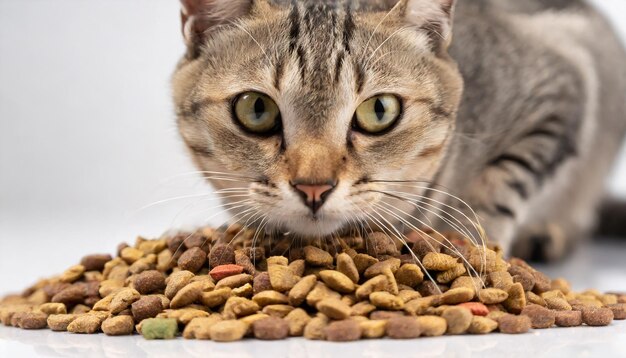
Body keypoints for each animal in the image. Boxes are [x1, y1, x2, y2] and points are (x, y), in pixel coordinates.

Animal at [172, 0, 624, 262]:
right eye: (257, 108)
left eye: (379, 110)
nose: (314, 188)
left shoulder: (562, 85)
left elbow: (499, 185)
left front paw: (472, 246)